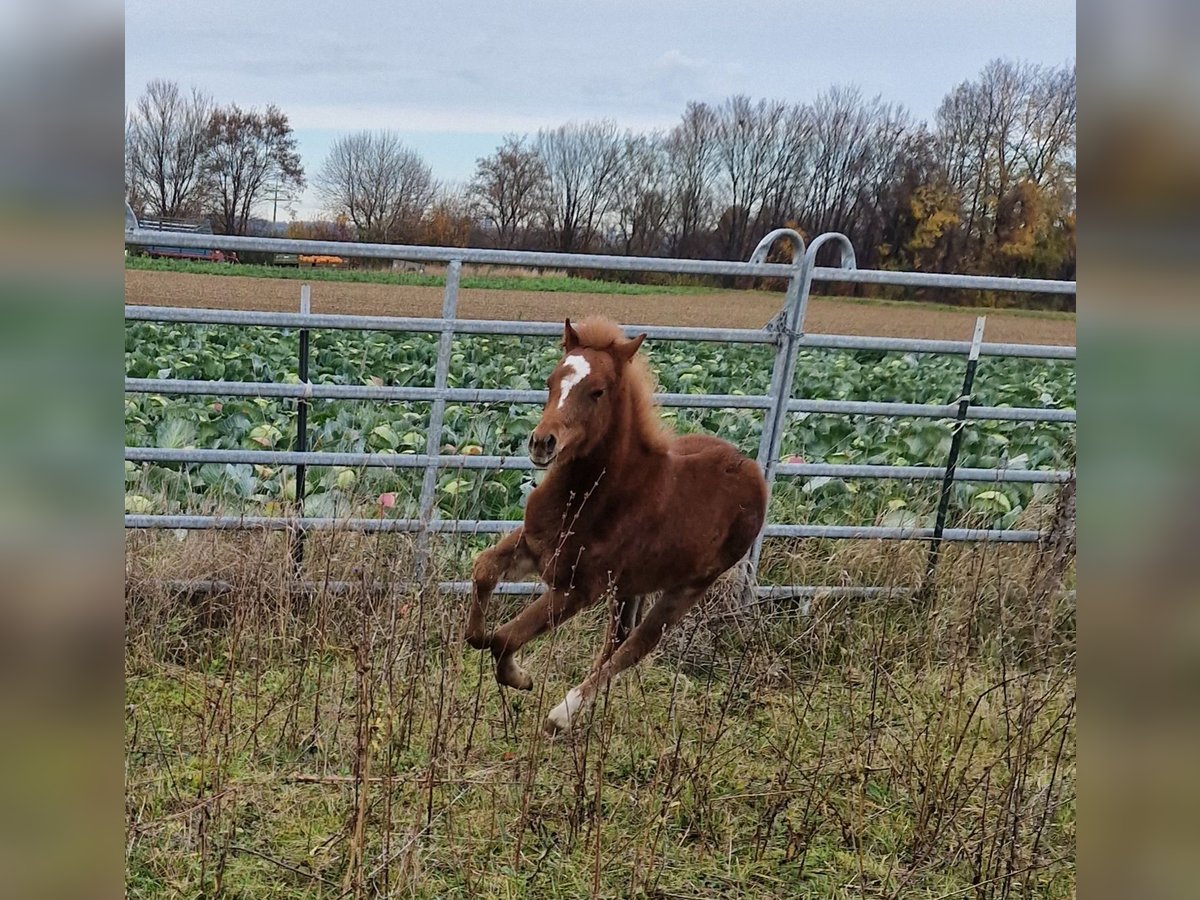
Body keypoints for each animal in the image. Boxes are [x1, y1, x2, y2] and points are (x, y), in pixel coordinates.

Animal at [465, 316, 768, 734]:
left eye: (597, 392)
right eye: (550, 381)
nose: (542, 443)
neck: (593, 497)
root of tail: (753, 468)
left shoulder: (577, 589)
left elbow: (506, 638)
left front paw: (520, 678)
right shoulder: (533, 545)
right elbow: (483, 572)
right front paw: (478, 637)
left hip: (688, 586)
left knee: (637, 644)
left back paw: (562, 715)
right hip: (630, 584)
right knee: (619, 638)